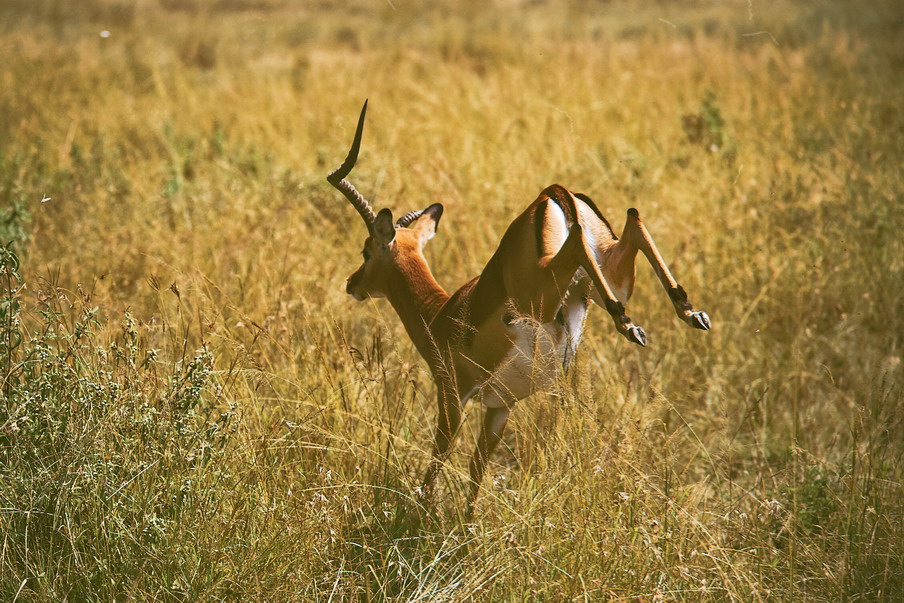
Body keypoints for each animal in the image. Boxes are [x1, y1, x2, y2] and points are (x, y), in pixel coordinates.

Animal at [328, 101, 708, 512]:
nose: (352, 284)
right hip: (609, 270)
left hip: (541, 293)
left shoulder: (453, 396)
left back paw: (629, 322)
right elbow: (477, 470)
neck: (440, 316)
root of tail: (550, 195)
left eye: (366, 251)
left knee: (583, 241)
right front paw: (468, 520)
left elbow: (437, 462)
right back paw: (687, 312)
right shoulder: (501, 407)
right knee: (634, 219)